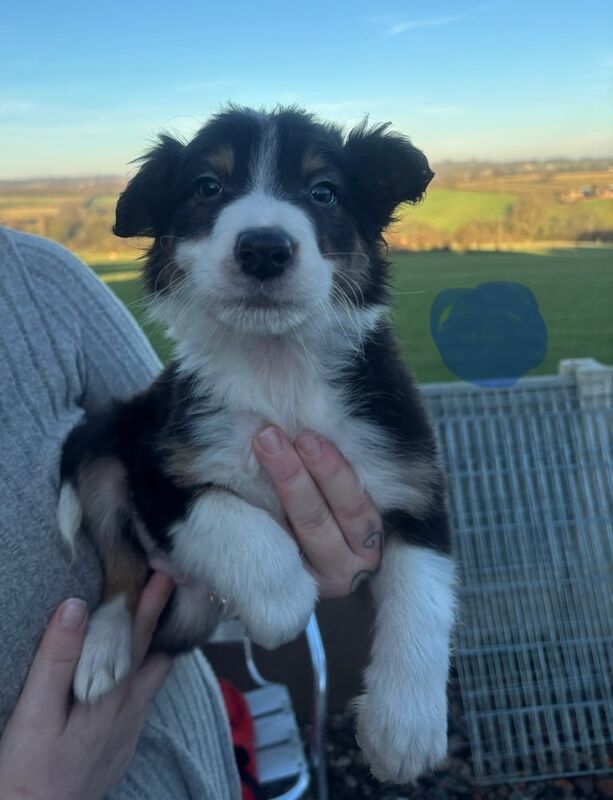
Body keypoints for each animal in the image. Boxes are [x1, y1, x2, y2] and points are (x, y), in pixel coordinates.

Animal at [58, 106, 454, 780]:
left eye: (324, 192)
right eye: (206, 187)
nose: (264, 249)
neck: (279, 373)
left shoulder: (412, 479)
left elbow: (422, 599)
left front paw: (405, 728)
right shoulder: (158, 471)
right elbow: (236, 527)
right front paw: (284, 604)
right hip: (110, 441)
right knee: (119, 569)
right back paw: (102, 651)